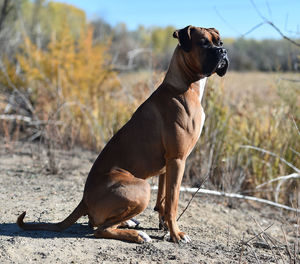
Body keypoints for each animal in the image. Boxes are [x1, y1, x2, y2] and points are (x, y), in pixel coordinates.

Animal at [16, 25, 229, 244]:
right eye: (204, 43)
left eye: (219, 42)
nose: (223, 51)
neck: (184, 86)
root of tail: (84, 200)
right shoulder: (178, 160)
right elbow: (173, 202)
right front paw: (176, 234)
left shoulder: (168, 165)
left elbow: (163, 199)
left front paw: (164, 225)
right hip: (141, 187)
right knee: (100, 229)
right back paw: (137, 235)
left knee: (103, 223)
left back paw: (129, 223)